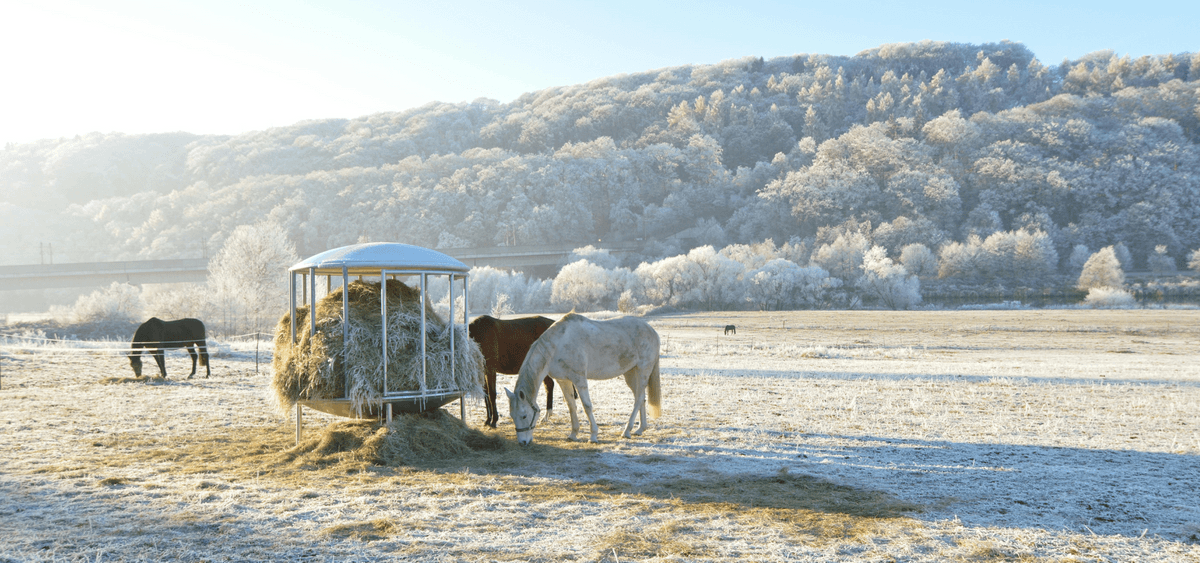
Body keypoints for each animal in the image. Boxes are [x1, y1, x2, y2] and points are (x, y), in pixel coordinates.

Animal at [506, 313, 661, 445]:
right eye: (512, 416)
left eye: (524, 416)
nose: (523, 442)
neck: (558, 345)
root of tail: (652, 331)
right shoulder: (564, 380)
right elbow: (571, 406)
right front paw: (573, 434)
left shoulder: (579, 378)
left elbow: (587, 406)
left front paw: (593, 436)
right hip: (630, 373)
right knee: (641, 398)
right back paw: (640, 429)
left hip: (643, 370)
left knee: (638, 399)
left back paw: (627, 431)